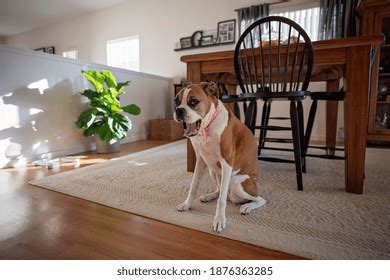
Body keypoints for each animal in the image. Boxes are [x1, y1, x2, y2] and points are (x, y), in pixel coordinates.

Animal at [173, 82, 266, 233]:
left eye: (193, 102)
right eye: (176, 101)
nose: (178, 110)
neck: (208, 126)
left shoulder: (227, 163)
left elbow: (221, 201)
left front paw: (219, 220)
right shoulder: (200, 161)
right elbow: (193, 186)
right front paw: (187, 204)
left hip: (236, 181)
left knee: (259, 199)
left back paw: (247, 206)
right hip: (212, 171)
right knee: (221, 191)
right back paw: (209, 195)